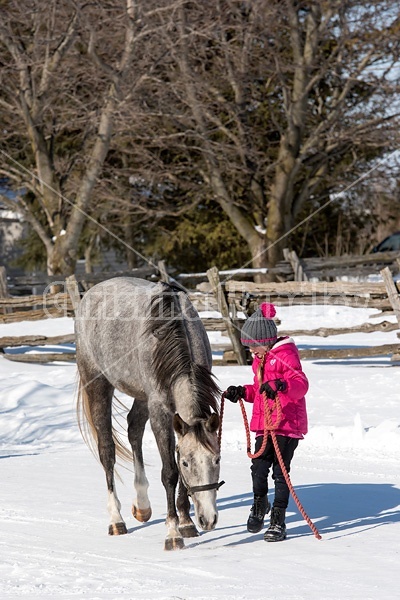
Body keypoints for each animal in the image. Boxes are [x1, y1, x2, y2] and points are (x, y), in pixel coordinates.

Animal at [74, 276, 222, 548]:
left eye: (216, 460)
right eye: (187, 463)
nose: (208, 519)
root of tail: (92, 291)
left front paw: (186, 523)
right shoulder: (160, 411)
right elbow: (170, 473)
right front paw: (173, 533)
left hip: (142, 396)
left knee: (134, 429)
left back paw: (142, 506)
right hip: (97, 384)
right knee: (107, 450)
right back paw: (116, 520)